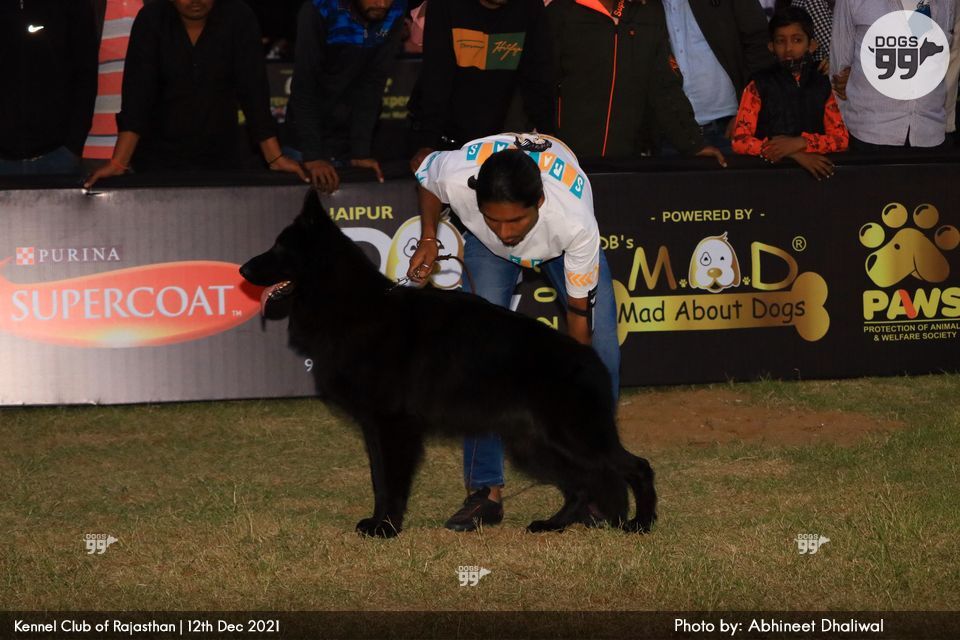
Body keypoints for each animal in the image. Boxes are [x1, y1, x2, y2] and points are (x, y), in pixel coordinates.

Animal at [240, 190, 656, 538]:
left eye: (279, 247)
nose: (242, 271)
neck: (351, 305)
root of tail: (588, 357)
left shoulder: (393, 426)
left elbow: (390, 482)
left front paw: (386, 528)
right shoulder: (375, 427)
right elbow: (378, 479)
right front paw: (378, 522)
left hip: (571, 437)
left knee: (635, 467)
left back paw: (642, 523)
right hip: (535, 445)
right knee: (583, 482)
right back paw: (554, 525)